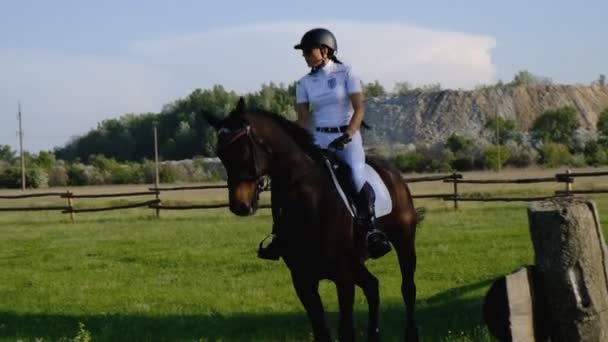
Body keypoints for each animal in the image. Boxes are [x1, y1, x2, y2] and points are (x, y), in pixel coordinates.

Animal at [213, 97, 418, 340]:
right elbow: (321, 330)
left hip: (403, 240)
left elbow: (345, 330)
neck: (309, 201)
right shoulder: (303, 279)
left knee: (408, 288)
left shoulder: (342, 275)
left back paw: (411, 335)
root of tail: (392, 171)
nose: (240, 205)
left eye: (244, 149)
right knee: (372, 286)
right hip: (357, 263)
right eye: (220, 154)